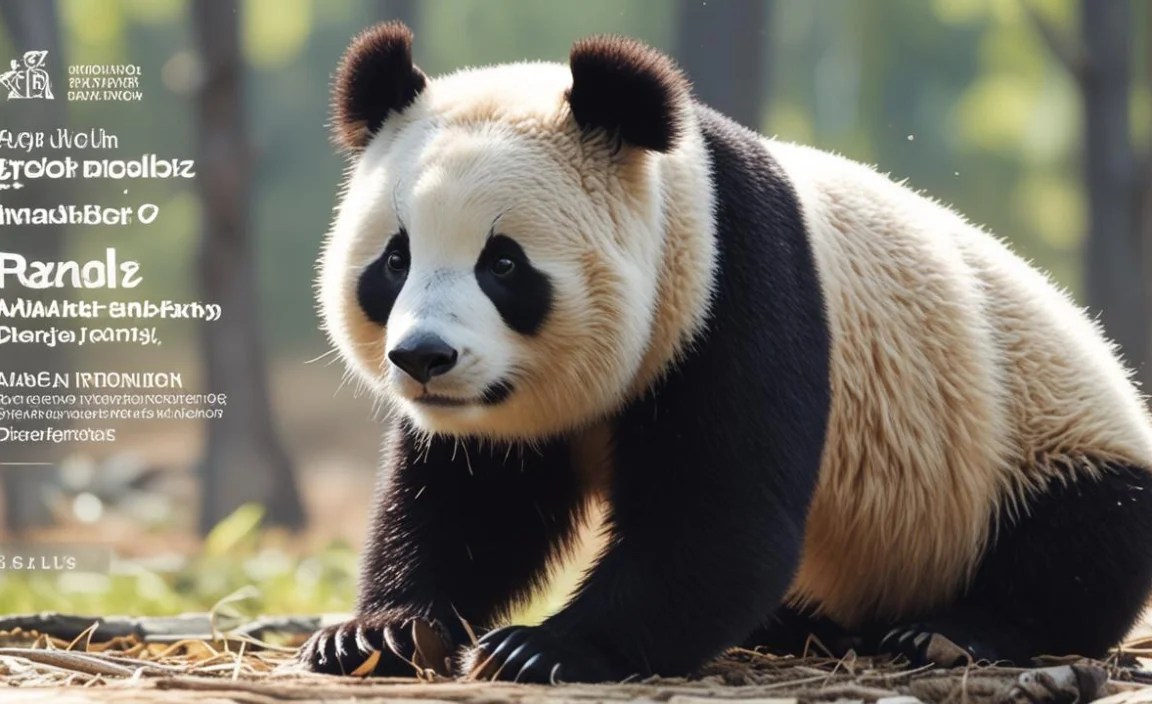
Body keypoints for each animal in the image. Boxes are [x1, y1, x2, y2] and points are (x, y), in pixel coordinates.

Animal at [299, 21, 1152, 683]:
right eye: (395, 261)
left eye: (503, 264)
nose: (424, 358)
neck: (677, 197)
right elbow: (470, 503)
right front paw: (379, 632)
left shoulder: (734, 289)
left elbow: (721, 517)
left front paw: (540, 649)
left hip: (1035, 433)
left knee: (1075, 540)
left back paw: (949, 631)